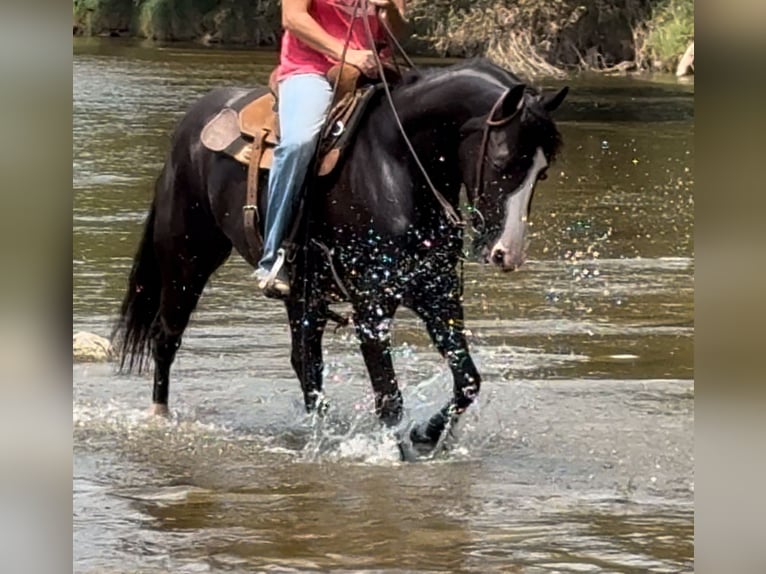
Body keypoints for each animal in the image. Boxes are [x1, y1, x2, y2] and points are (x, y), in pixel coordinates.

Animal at [115, 56, 568, 456]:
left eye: (542, 172)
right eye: (503, 160)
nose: (507, 254)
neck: (397, 166)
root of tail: (193, 123)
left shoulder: (436, 295)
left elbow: (468, 380)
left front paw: (426, 434)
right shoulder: (372, 306)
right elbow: (389, 397)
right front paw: (396, 454)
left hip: (301, 291)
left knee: (305, 362)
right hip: (187, 258)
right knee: (166, 336)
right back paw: (159, 415)